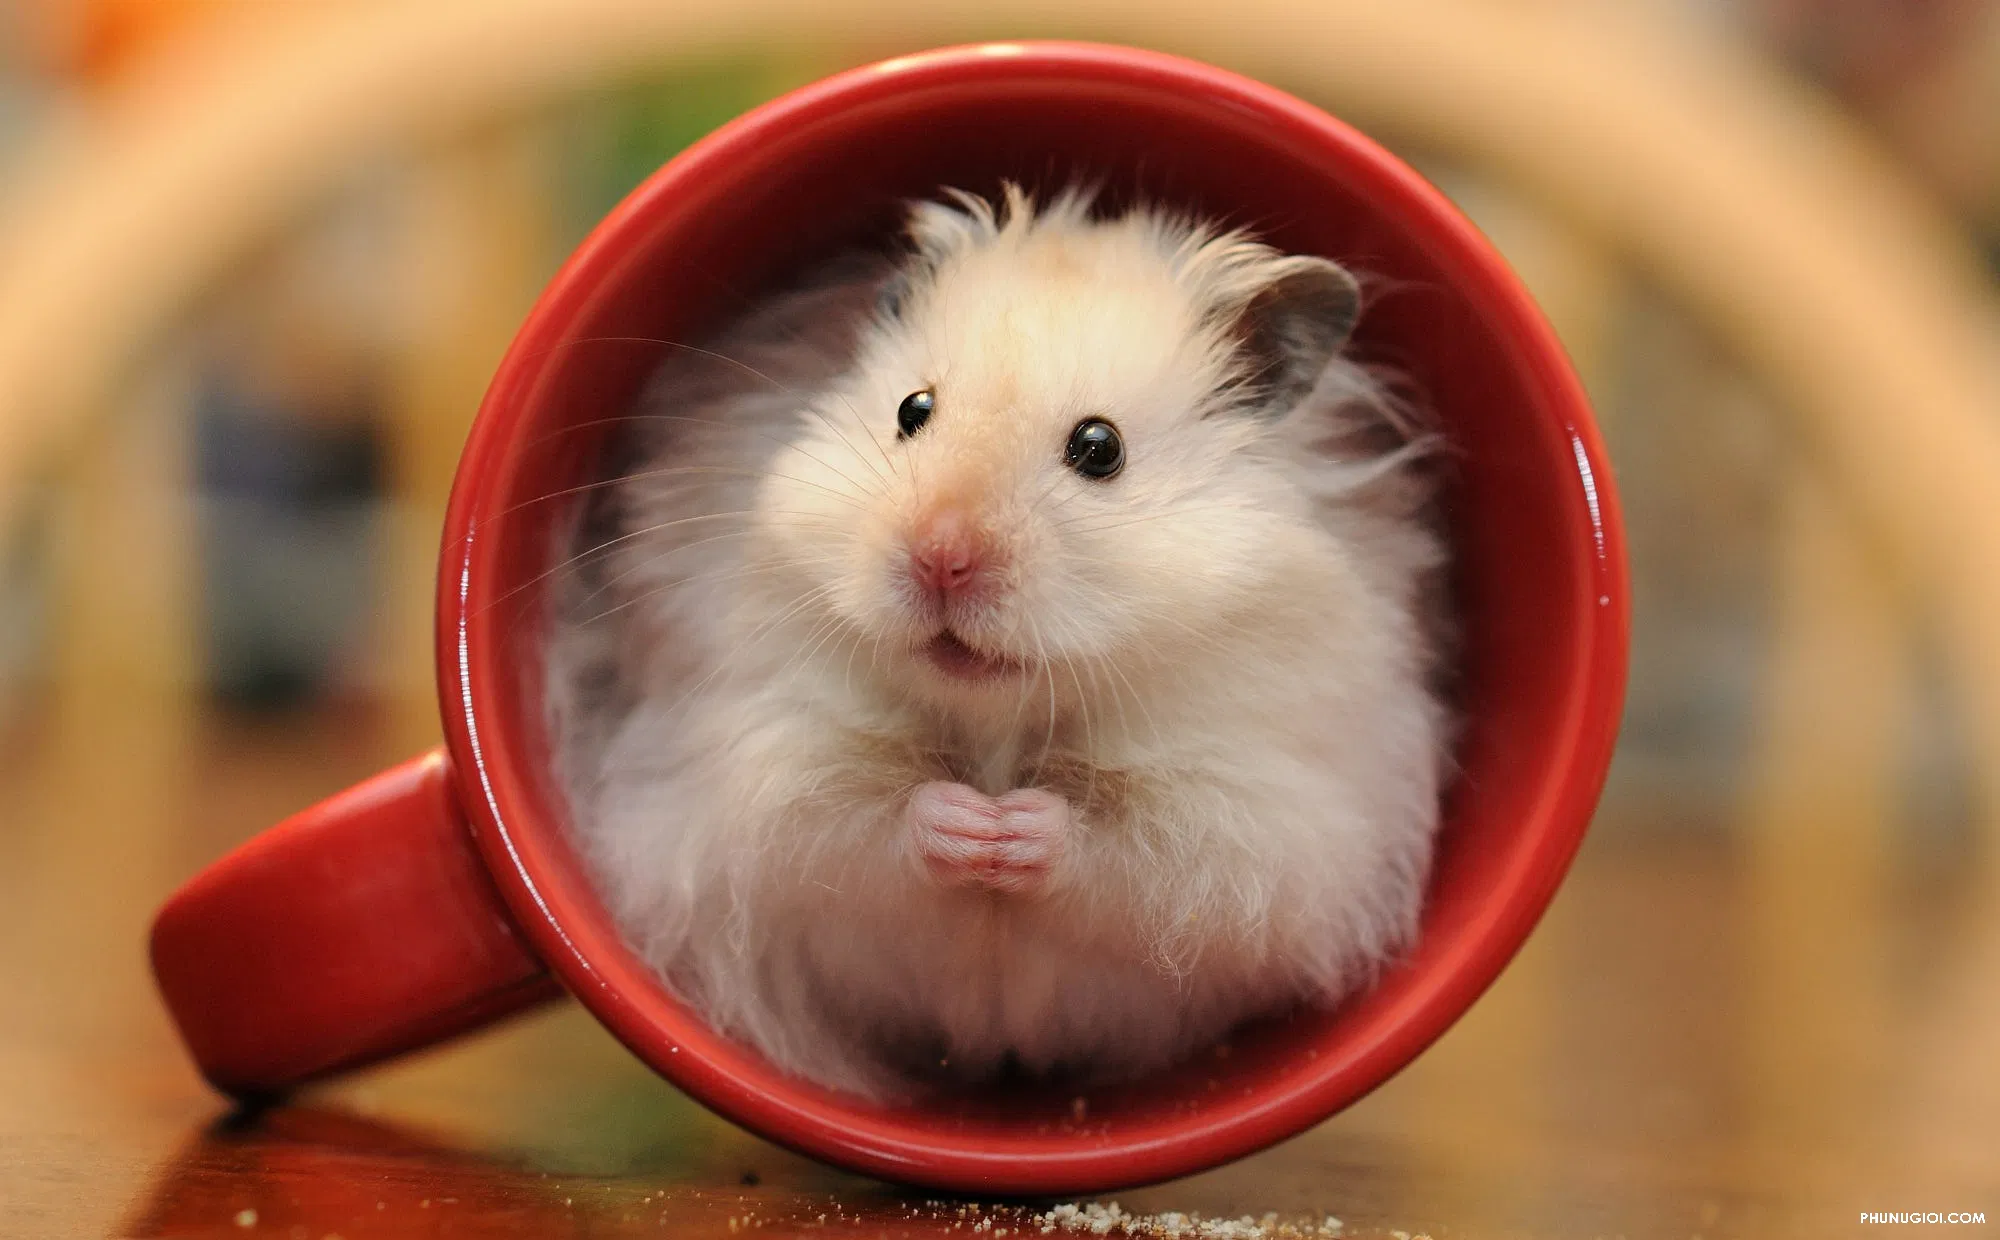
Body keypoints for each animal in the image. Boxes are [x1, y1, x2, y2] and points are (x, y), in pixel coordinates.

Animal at [544, 184, 1452, 1101]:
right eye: (911, 412)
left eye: (1100, 448)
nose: (940, 557)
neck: (996, 719)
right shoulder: (769, 768)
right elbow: (855, 823)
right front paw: (967, 825)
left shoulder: (1254, 820)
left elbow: (1136, 858)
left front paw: (1010, 828)